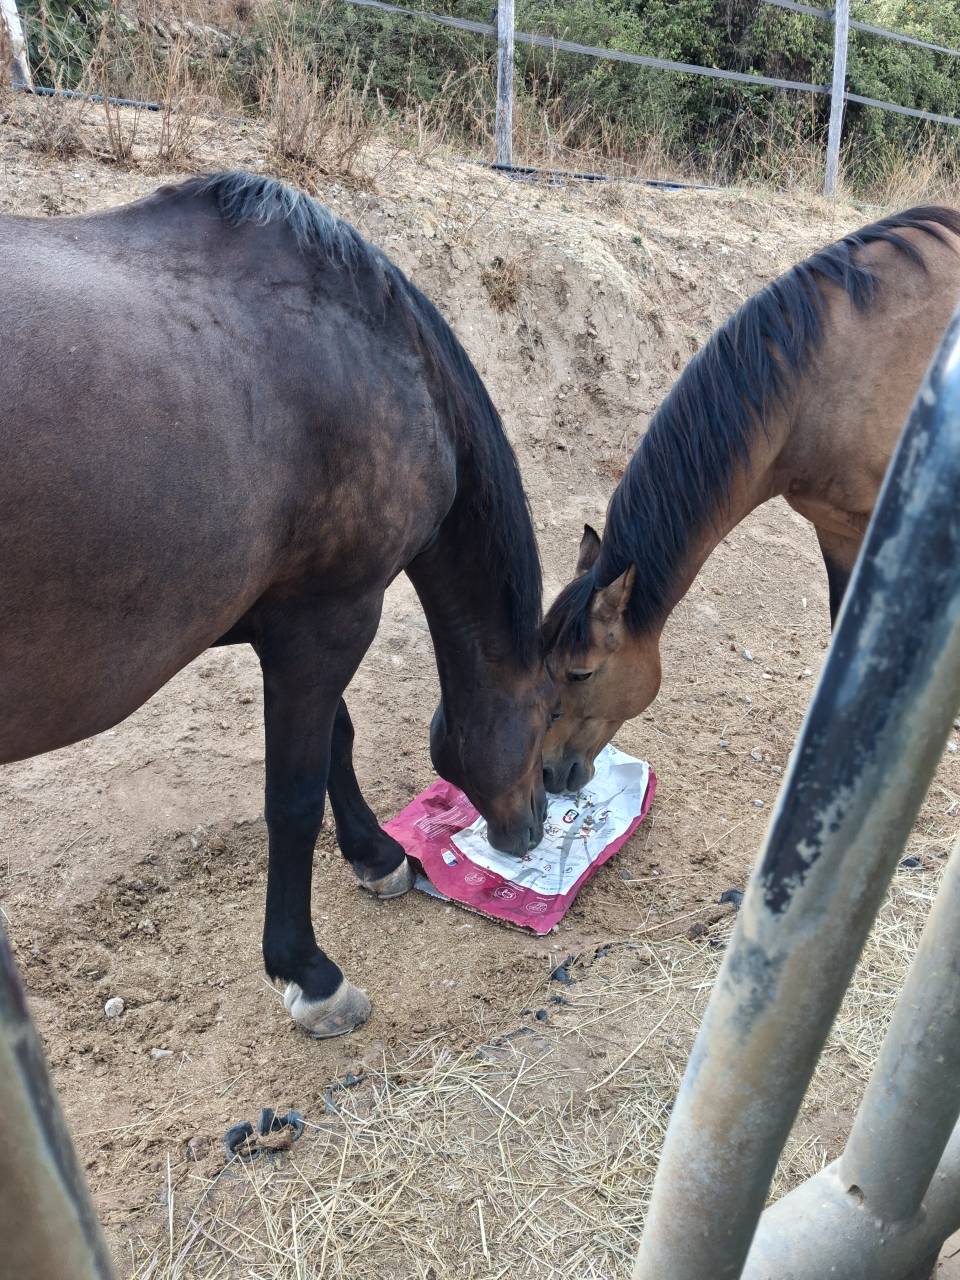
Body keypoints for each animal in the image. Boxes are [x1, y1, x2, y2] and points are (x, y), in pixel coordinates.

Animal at [0, 171, 551, 1038]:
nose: (533, 827)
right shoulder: (331, 617)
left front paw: (375, 855)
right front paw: (310, 971)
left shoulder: (292, 617)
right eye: (547, 716)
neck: (381, 355)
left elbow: (337, 740)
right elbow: (293, 795)